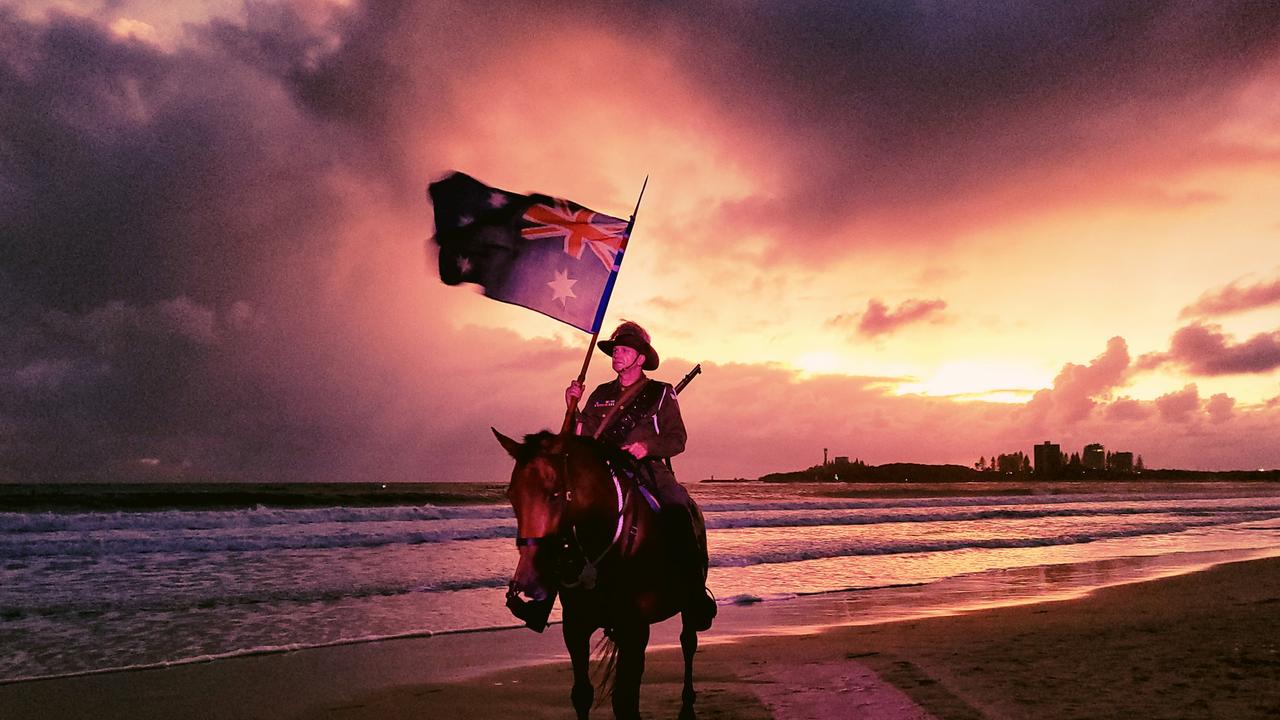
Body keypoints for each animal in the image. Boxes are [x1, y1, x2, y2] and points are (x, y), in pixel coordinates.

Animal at [491, 425, 711, 717]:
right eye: (512, 495)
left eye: (554, 494)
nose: (528, 579)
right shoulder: (575, 626)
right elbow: (583, 695)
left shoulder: (635, 627)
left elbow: (625, 701)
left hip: (687, 606)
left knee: (688, 643)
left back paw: (687, 701)